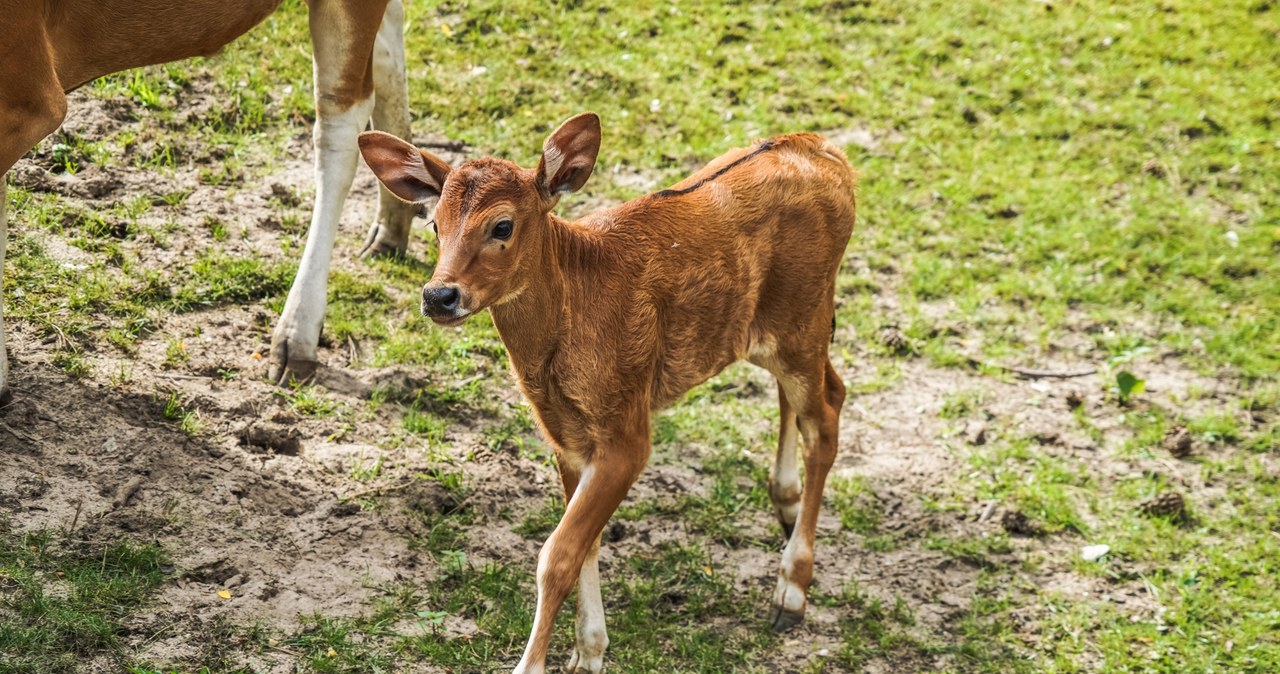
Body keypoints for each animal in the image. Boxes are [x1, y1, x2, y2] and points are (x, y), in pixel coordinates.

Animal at [360, 113, 860, 670]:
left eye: (502, 225)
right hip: (779, 330)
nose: (439, 296)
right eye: (435, 225)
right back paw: (786, 508)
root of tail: (827, 154)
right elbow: (586, 544)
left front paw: (536, 663)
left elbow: (557, 554)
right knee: (810, 396)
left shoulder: (627, 430)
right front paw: (589, 652)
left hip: (803, 317)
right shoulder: (566, 437)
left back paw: (791, 593)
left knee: (826, 415)